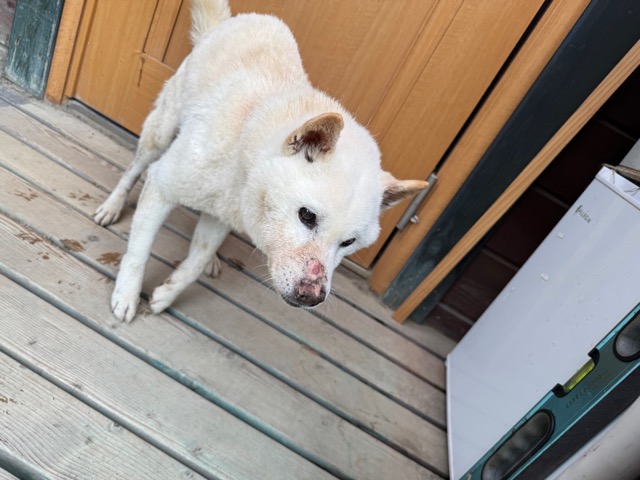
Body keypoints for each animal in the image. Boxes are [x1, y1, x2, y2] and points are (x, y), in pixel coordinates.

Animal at [94, 0, 428, 323]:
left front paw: (168, 294)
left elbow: (196, 262)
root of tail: (236, 20)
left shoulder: (223, 215)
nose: (312, 296)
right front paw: (127, 296)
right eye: (307, 216)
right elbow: (138, 252)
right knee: (135, 169)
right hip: (160, 132)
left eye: (349, 242)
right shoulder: (162, 186)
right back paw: (112, 206)